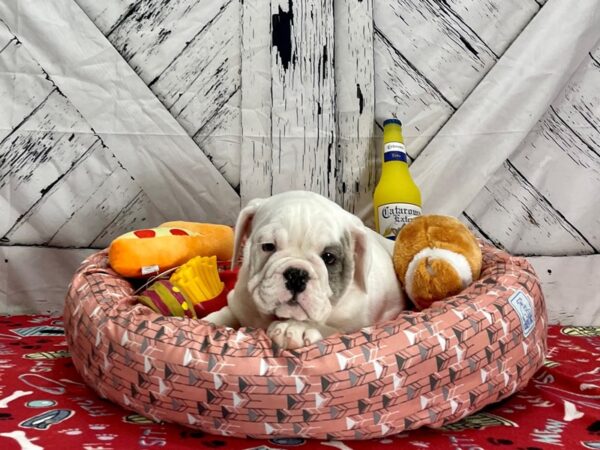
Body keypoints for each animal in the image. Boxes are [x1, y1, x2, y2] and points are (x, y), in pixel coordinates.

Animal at [204, 190, 406, 348]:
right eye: (268, 246)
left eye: (329, 257)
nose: (296, 275)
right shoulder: (239, 303)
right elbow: (226, 314)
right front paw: (208, 322)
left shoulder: (354, 326)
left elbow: (330, 328)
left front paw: (296, 328)